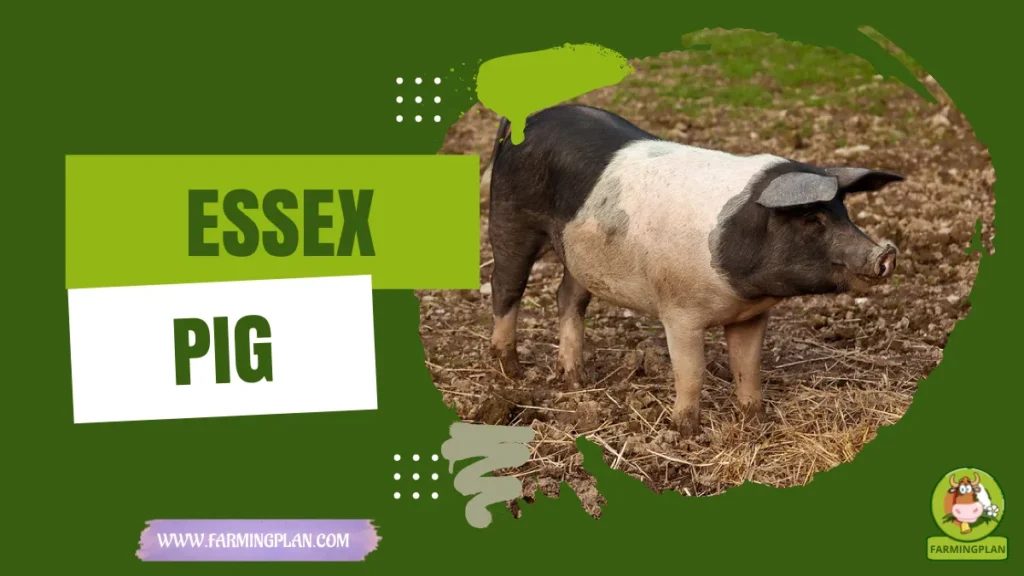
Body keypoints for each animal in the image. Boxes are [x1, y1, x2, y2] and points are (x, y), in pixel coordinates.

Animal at [482, 104, 903, 436]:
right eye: (811, 218)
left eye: (844, 212)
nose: (885, 254)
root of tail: (530, 117)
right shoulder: (679, 311)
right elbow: (692, 371)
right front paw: (686, 432)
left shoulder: (751, 315)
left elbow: (748, 366)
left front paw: (755, 421)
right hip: (510, 217)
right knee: (505, 286)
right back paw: (513, 371)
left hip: (579, 253)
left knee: (567, 297)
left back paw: (577, 378)